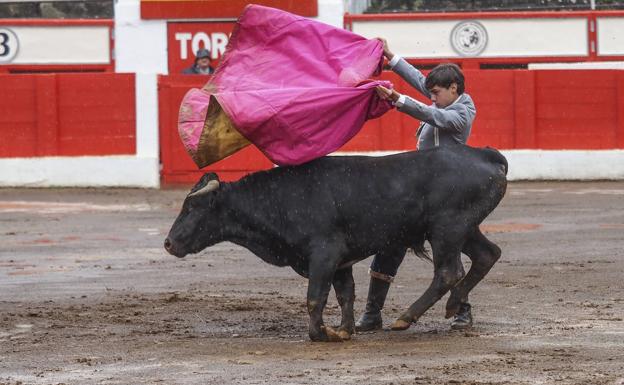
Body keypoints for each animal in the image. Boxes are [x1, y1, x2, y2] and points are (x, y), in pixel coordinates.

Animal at [165, 146, 508, 340]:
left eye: (192, 207)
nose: (168, 243)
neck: (276, 199)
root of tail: (485, 155)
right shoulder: (341, 261)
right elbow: (345, 295)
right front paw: (344, 330)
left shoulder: (324, 254)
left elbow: (315, 298)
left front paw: (322, 333)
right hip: (463, 229)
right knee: (487, 255)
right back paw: (452, 305)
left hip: (447, 229)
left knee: (449, 272)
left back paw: (405, 318)